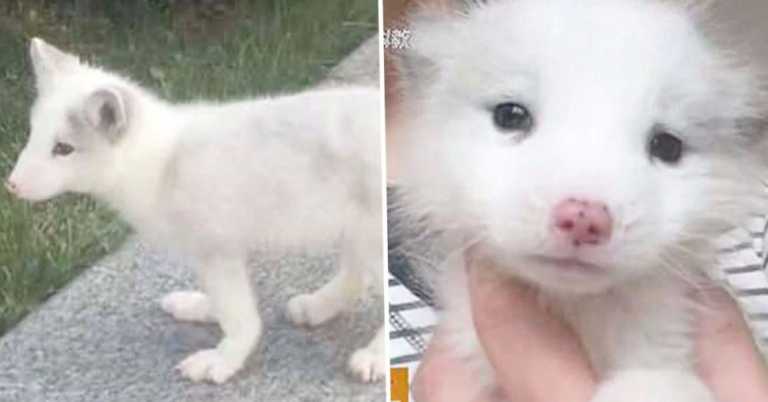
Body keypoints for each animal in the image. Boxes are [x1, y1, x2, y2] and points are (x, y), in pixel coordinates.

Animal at [6, 38, 385, 384]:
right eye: (33, 135)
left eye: (63, 149)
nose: (11, 185)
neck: (160, 162)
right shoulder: (216, 255)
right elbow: (225, 303)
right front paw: (200, 308)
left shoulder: (218, 251)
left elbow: (241, 318)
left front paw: (223, 360)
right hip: (355, 231)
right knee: (357, 277)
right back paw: (318, 307)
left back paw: (375, 356)